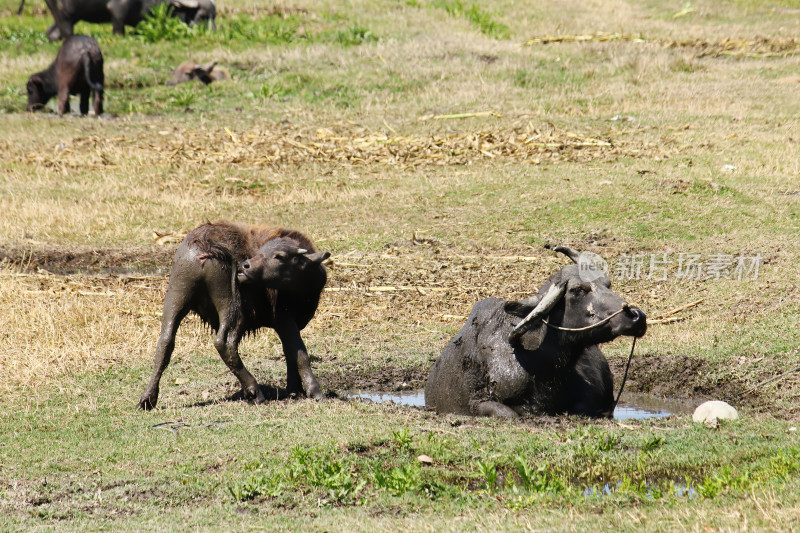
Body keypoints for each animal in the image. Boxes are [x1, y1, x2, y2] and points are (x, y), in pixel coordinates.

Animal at [136, 222, 330, 410]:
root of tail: (204, 245)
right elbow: (299, 353)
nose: (246, 266)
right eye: (265, 252)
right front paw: (314, 390)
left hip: (176, 294)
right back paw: (254, 391)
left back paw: (147, 399)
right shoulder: (285, 319)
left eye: (279, 256)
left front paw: (294, 389)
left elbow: (290, 352)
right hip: (233, 306)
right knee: (224, 343)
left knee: (165, 342)